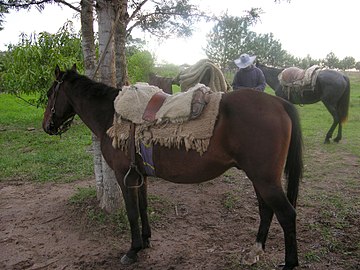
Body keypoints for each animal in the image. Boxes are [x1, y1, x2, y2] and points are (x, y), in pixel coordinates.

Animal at [43, 64, 306, 268]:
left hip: (265, 180)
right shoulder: (140, 175)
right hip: (259, 179)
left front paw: (133, 250)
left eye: (48, 94)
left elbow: (131, 212)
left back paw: (289, 263)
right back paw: (255, 251)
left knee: (286, 214)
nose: (47, 126)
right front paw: (146, 241)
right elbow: (143, 207)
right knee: (266, 210)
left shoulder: (123, 176)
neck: (111, 115)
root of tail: (279, 103)